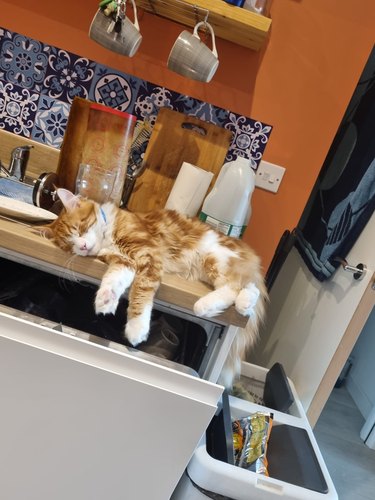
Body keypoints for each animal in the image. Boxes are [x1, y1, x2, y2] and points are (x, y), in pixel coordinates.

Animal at [43, 188, 268, 386]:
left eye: (81, 228)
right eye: (70, 244)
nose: (81, 246)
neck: (109, 236)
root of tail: (243, 247)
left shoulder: (148, 255)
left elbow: (140, 294)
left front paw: (136, 329)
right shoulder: (124, 261)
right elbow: (113, 280)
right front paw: (106, 300)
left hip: (215, 257)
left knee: (239, 285)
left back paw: (213, 305)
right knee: (244, 287)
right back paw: (235, 305)